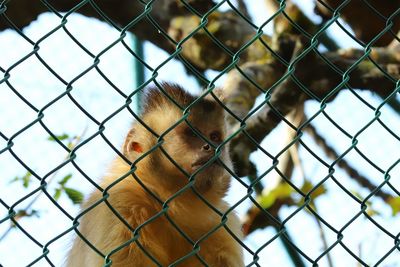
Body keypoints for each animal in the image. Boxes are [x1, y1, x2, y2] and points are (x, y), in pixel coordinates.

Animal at [66, 84, 244, 267]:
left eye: (214, 137)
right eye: (192, 134)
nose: (210, 147)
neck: (173, 205)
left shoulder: (222, 222)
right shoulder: (120, 201)